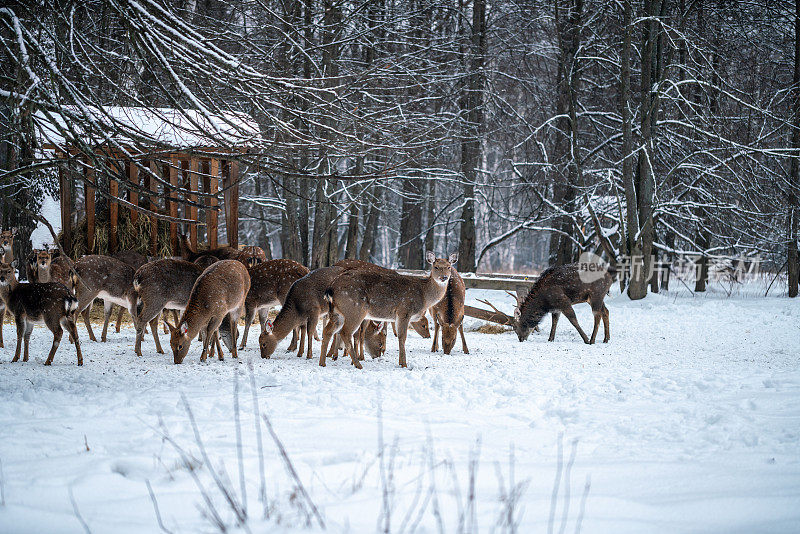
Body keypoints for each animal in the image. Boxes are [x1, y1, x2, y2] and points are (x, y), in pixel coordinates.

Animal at [318, 253, 456, 370]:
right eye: (436, 267)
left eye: (449, 267)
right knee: (345, 332)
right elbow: (402, 337)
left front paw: (400, 362)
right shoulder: (404, 311)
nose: (444, 277)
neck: (424, 294)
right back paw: (357, 364)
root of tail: (331, 288)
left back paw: (322, 362)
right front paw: (404, 364)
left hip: (338, 312)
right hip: (354, 309)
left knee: (328, 331)